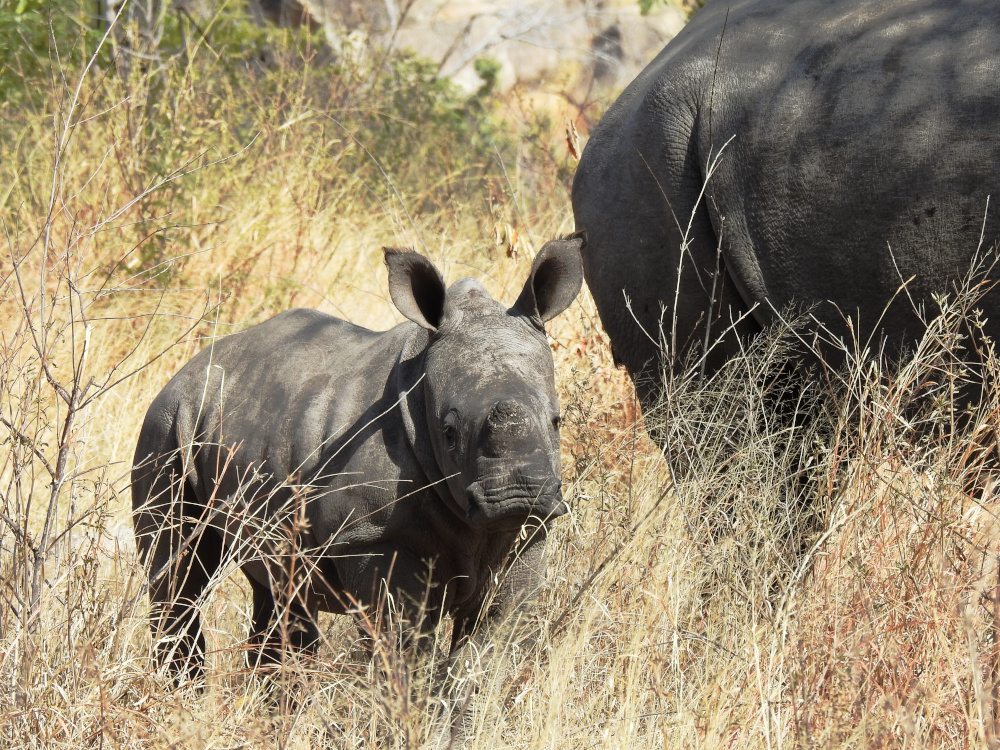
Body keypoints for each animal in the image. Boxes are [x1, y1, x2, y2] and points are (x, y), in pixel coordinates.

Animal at [130, 242, 584, 680]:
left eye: (557, 421)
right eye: (449, 432)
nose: (517, 495)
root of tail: (182, 372)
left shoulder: (530, 531)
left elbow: (488, 653)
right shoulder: (373, 536)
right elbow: (404, 654)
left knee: (280, 594)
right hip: (166, 426)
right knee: (177, 580)